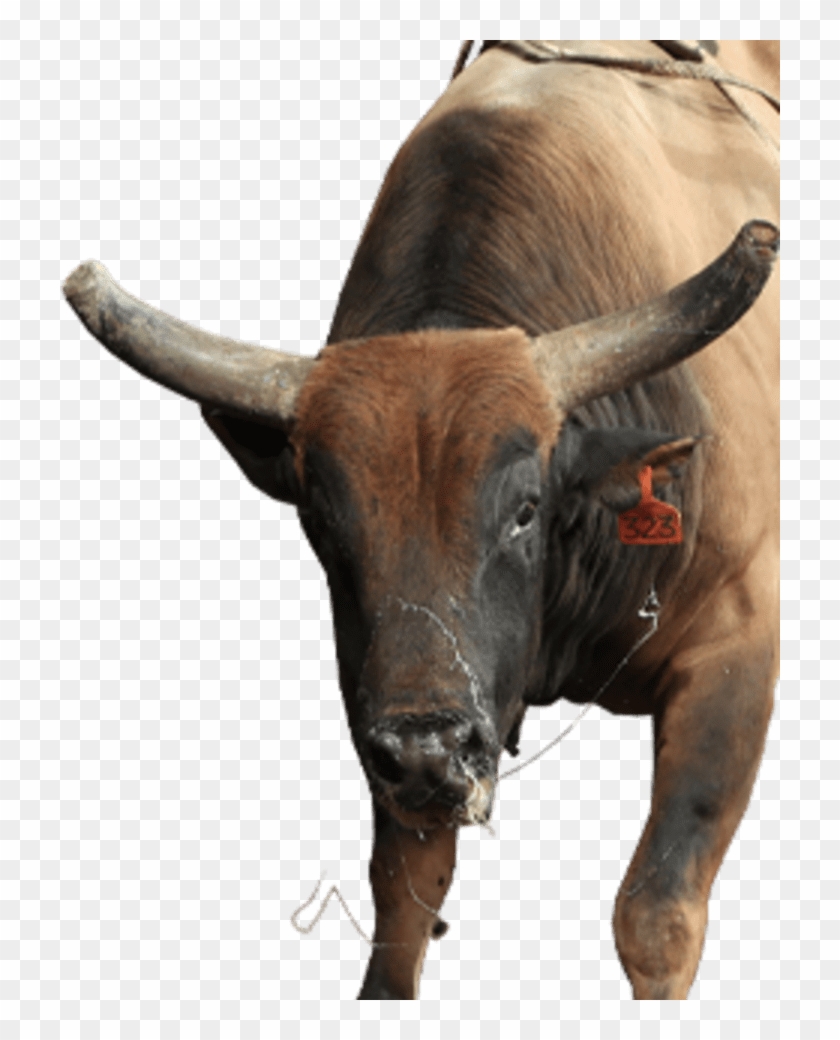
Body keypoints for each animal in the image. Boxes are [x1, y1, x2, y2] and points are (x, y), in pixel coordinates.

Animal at [62, 40, 780, 1000]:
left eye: (524, 509)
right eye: (326, 525)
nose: (427, 748)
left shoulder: (738, 646)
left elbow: (656, 912)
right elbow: (402, 907)